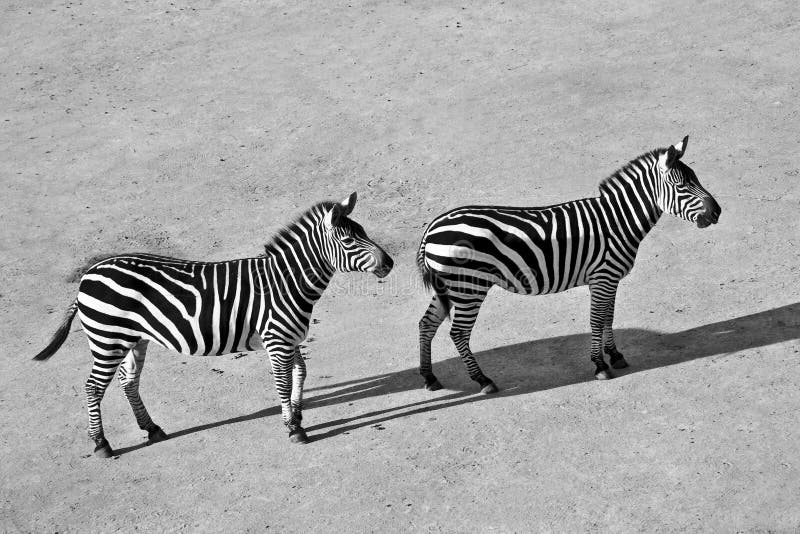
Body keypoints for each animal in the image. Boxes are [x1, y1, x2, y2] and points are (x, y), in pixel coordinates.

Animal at [33, 193, 393, 457]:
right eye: (349, 241)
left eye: (364, 232)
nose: (390, 263)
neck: (285, 283)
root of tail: (87, 275)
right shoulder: (277, 339)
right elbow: (282, 382)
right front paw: (293, 428)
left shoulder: (288, 338)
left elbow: (300, 373)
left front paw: (297, 414)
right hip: (108, 339)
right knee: (93, 387)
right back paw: (101, 444)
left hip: (133, 339)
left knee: (128, 382)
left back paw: (151, 429)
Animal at [417, 136, 721, 392]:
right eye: (682, 186)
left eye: (696, 179)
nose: (717, 212)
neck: (618, 220)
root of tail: (430, 229)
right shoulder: (603, 277)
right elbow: (597, 319)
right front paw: (599, 366)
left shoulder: (607, 279)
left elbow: (608, 317)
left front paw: (615, 355)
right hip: (469, 287)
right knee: (458, 333)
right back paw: (483, 380)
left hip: (449, 288)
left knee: (426, 324)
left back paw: (430, 378)